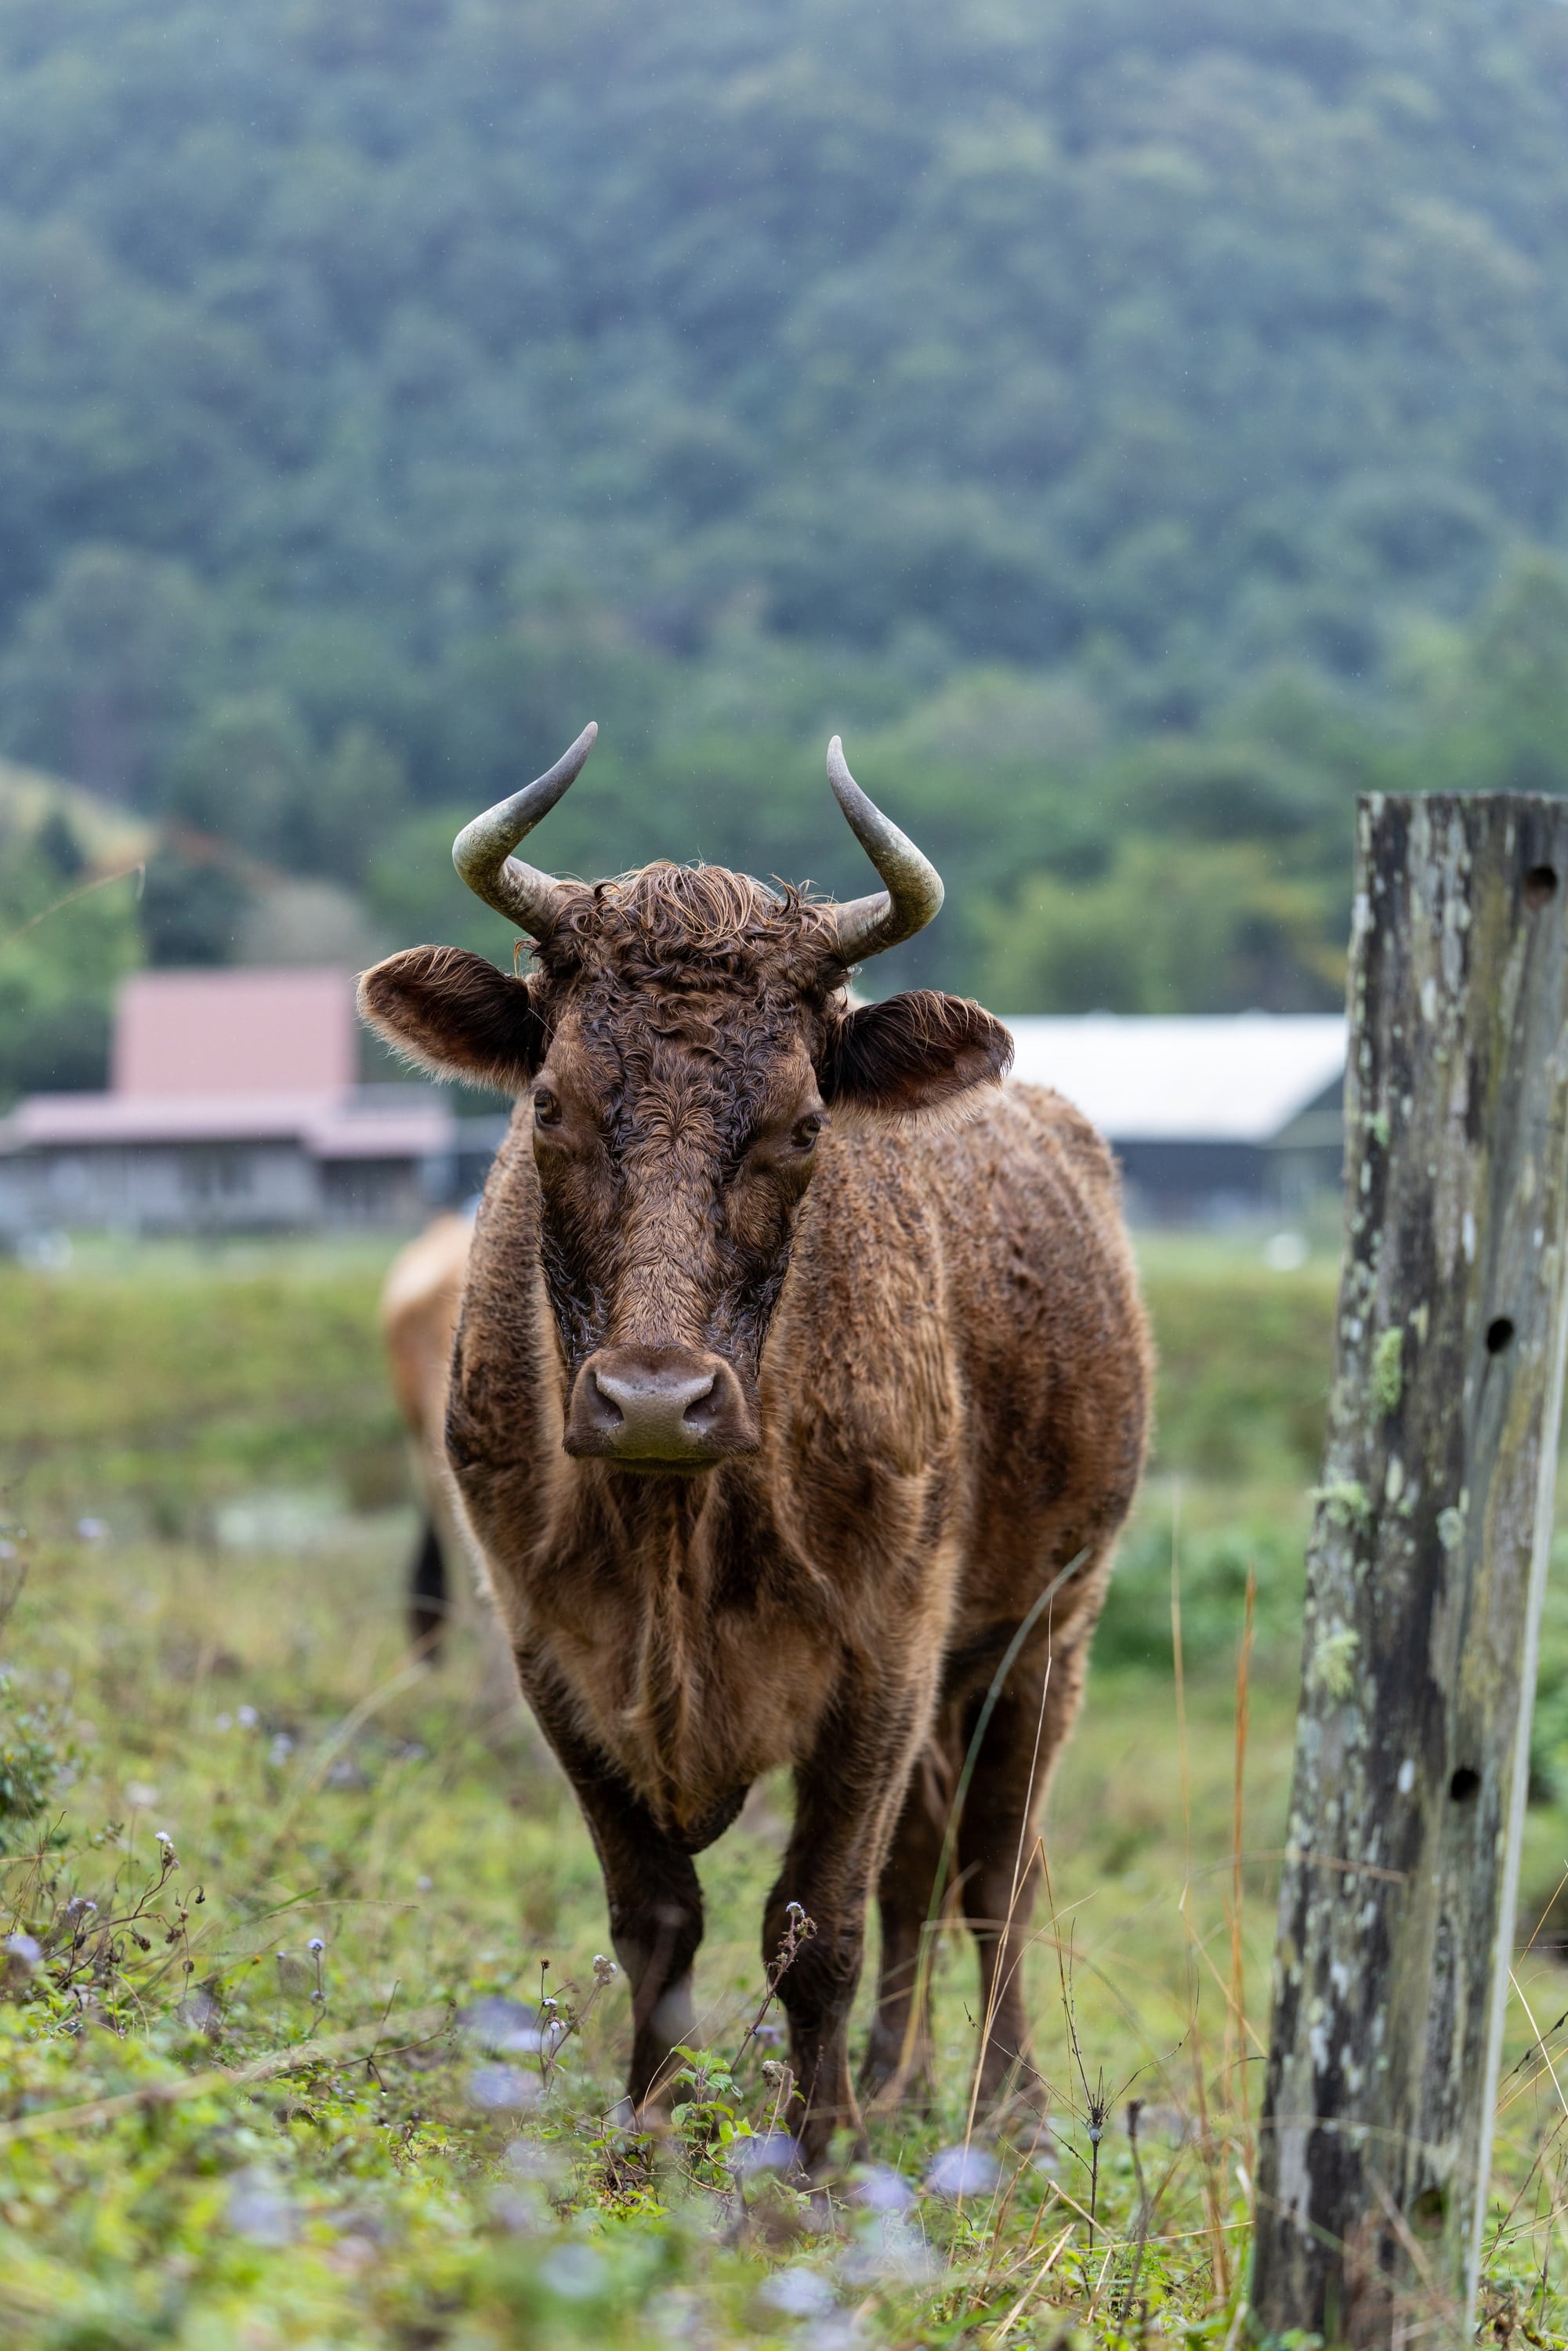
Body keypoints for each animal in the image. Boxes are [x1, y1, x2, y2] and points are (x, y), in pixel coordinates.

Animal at [359, 725, 1151, 2170]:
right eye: (549, 1105)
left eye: (801, 1125)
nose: (654, 1399)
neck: (678, 1530)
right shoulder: (554, 1653)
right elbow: (657, 1917)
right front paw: (645, 2140)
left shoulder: (884, 1655)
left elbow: (816, 1923)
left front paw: (813, 2161)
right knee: (928, 1867)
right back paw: (898, 2082)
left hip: (1042, 1637)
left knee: (992, 1868)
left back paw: (1000, 2112)